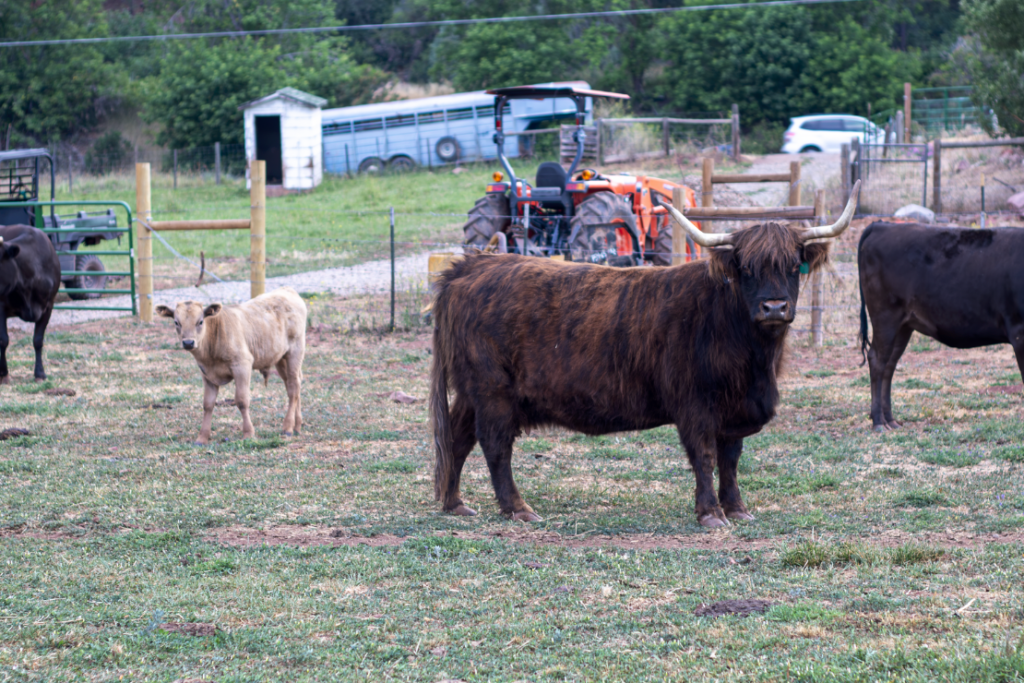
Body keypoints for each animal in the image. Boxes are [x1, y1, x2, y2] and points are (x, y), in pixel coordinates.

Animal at [155, 287, 307, 444]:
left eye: (200, 321)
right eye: (176, 322)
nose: (188, 343)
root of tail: (286, 289)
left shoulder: (242, 365)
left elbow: (241, 400)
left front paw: (248, 433)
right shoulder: (206, 373)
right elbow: (208, 404)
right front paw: (202, 437)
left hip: (295, 351)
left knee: (293, 387)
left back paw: (288, 428)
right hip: (280, 358)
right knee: (292, 384)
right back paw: (297, 426)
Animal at [430, 183, 862, 527]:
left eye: (792, 266)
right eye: (746, 268)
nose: (774, 307)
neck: (754, 359)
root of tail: (472, 265)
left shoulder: (733, 410)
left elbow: (731, 459)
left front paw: (737, 509)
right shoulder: (695, 405)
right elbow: (705, 456)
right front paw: (710, 514)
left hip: (471, 392)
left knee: (456, 437)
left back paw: (455, 503)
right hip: (493, 391)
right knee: (495, 445)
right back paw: (518, 509)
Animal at [859, 221, 1024, 431]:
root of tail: (881, 224)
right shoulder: (1019, 332)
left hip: (903, 325)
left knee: (889, 364)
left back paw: (890, 420)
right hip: (885, 316)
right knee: (877, 360)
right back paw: (879, 422)